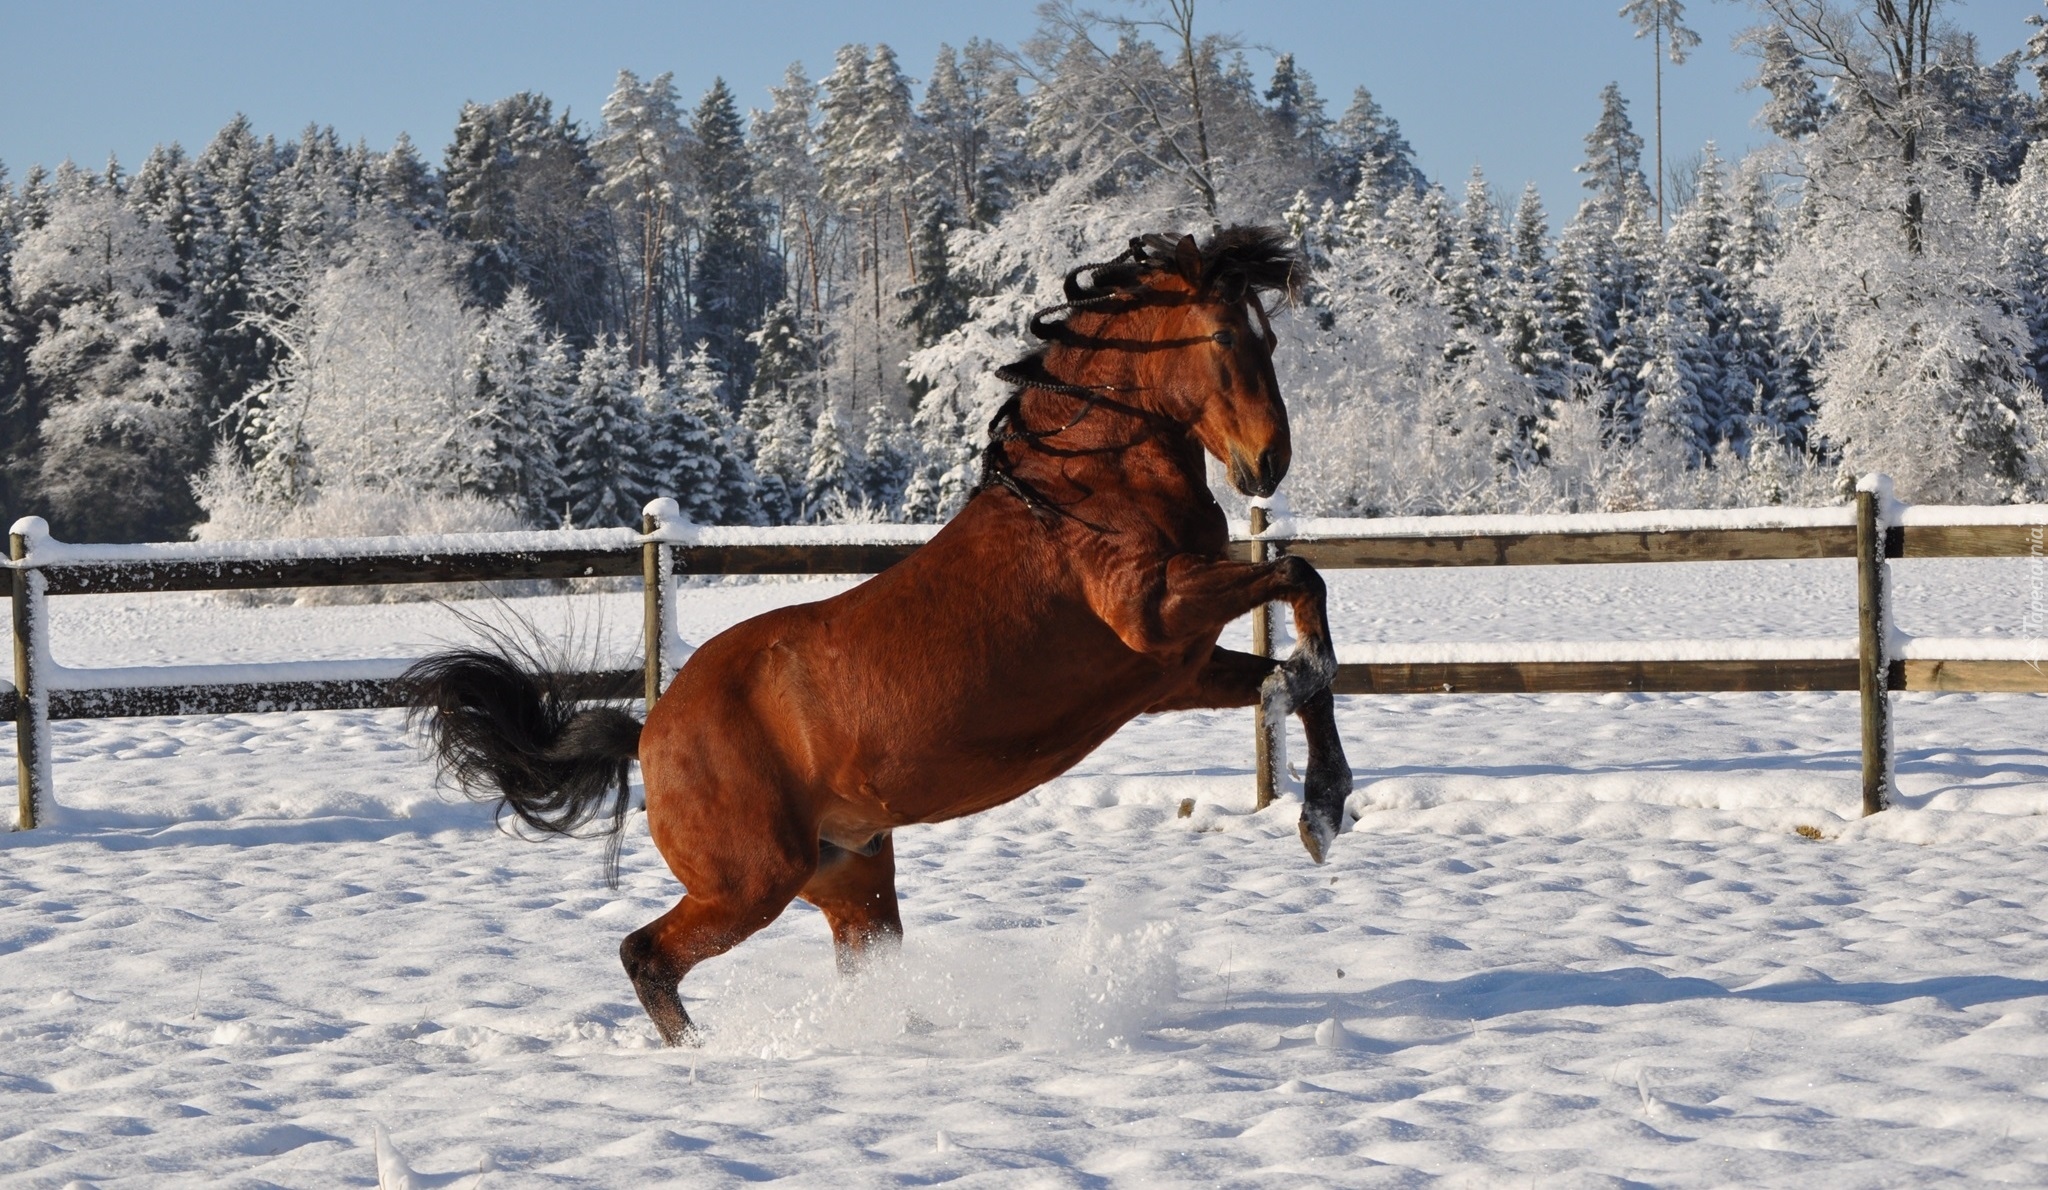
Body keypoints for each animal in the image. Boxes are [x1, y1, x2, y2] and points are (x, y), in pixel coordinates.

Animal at [405, 223, 1351, 1040]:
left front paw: (1323, 808)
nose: (1268, 463)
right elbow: (1301, 582)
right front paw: (1320, 780)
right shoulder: (1154, 614)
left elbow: (1295, 676)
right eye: (1225, 337)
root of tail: (650, 732)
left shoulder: (1173, 671)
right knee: (646, 955)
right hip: (752, 882)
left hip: (850, 875)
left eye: (1270, 338)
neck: (1084, 492)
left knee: (853, 961)